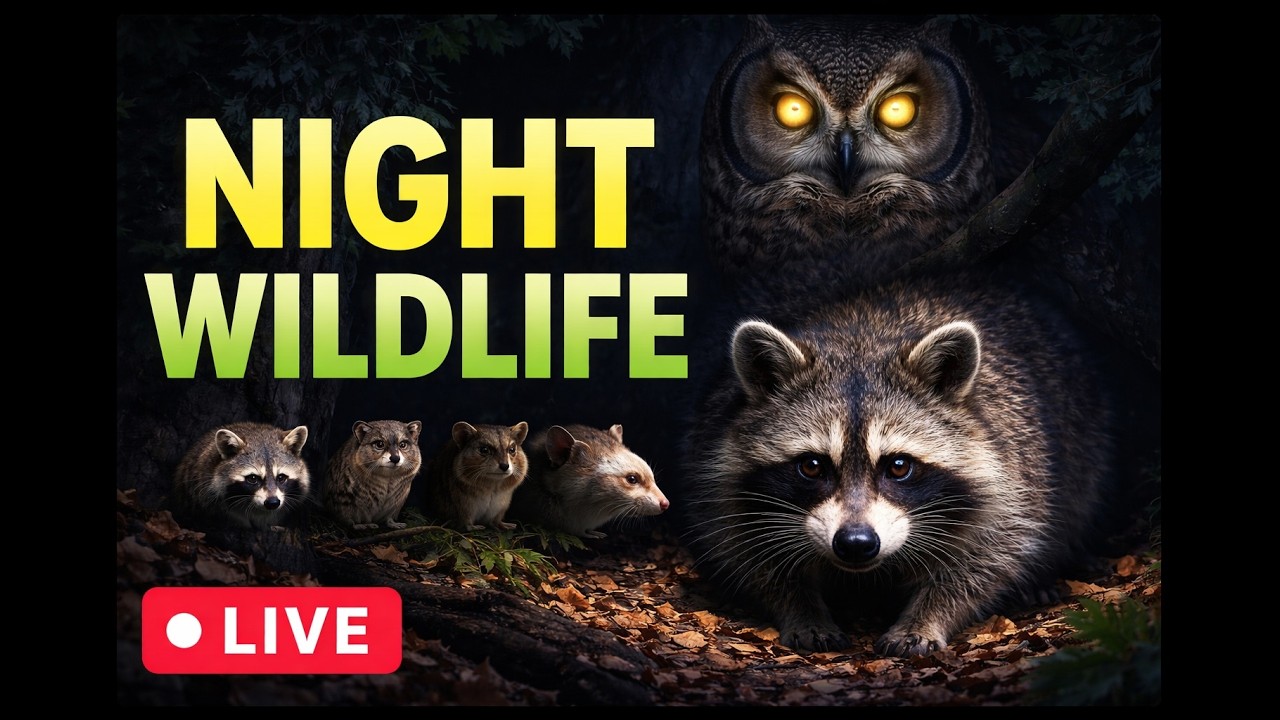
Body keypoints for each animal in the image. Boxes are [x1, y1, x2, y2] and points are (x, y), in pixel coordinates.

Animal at [683, 279, 1113, 657]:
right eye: (812, 466)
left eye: (899, 466)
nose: (856, 543)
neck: (861, 339)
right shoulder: (719, 470)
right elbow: (747, 550)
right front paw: (800, 609)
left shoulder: (1012, 474)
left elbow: (988, 557)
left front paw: (927, 616)